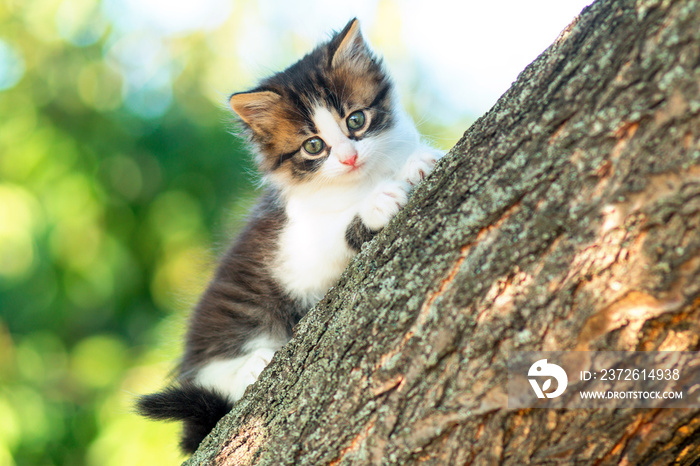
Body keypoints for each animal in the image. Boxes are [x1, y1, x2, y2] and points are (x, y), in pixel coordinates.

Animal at [137, 19, 442, 456]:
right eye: (313, 145)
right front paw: (376, 204)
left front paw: (416, 163)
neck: (360, 180)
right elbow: (333, 235)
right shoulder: (291, 248)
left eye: (356, 121)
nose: (349, 157)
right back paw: (253, 365)